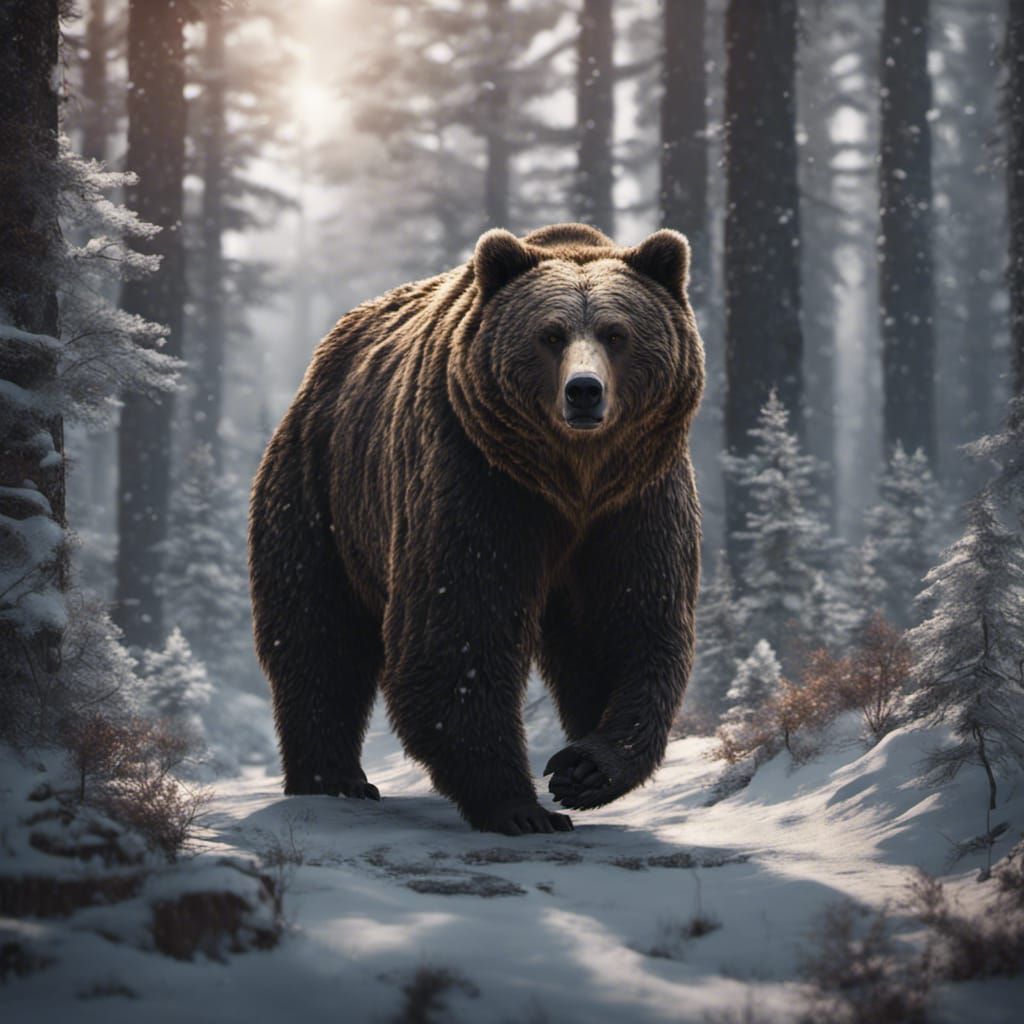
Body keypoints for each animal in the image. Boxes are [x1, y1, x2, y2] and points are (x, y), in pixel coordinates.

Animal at [248, 222, 704, 836]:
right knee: (318, 633)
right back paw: (333, 780)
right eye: (551, 334)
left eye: (616, 333)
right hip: (321, 491)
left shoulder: (634, 498)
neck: (571, 479)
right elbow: (459, 631)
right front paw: (521, 807)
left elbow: (625, 622)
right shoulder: (478, 479)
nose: (584, 391)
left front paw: (584, 768)